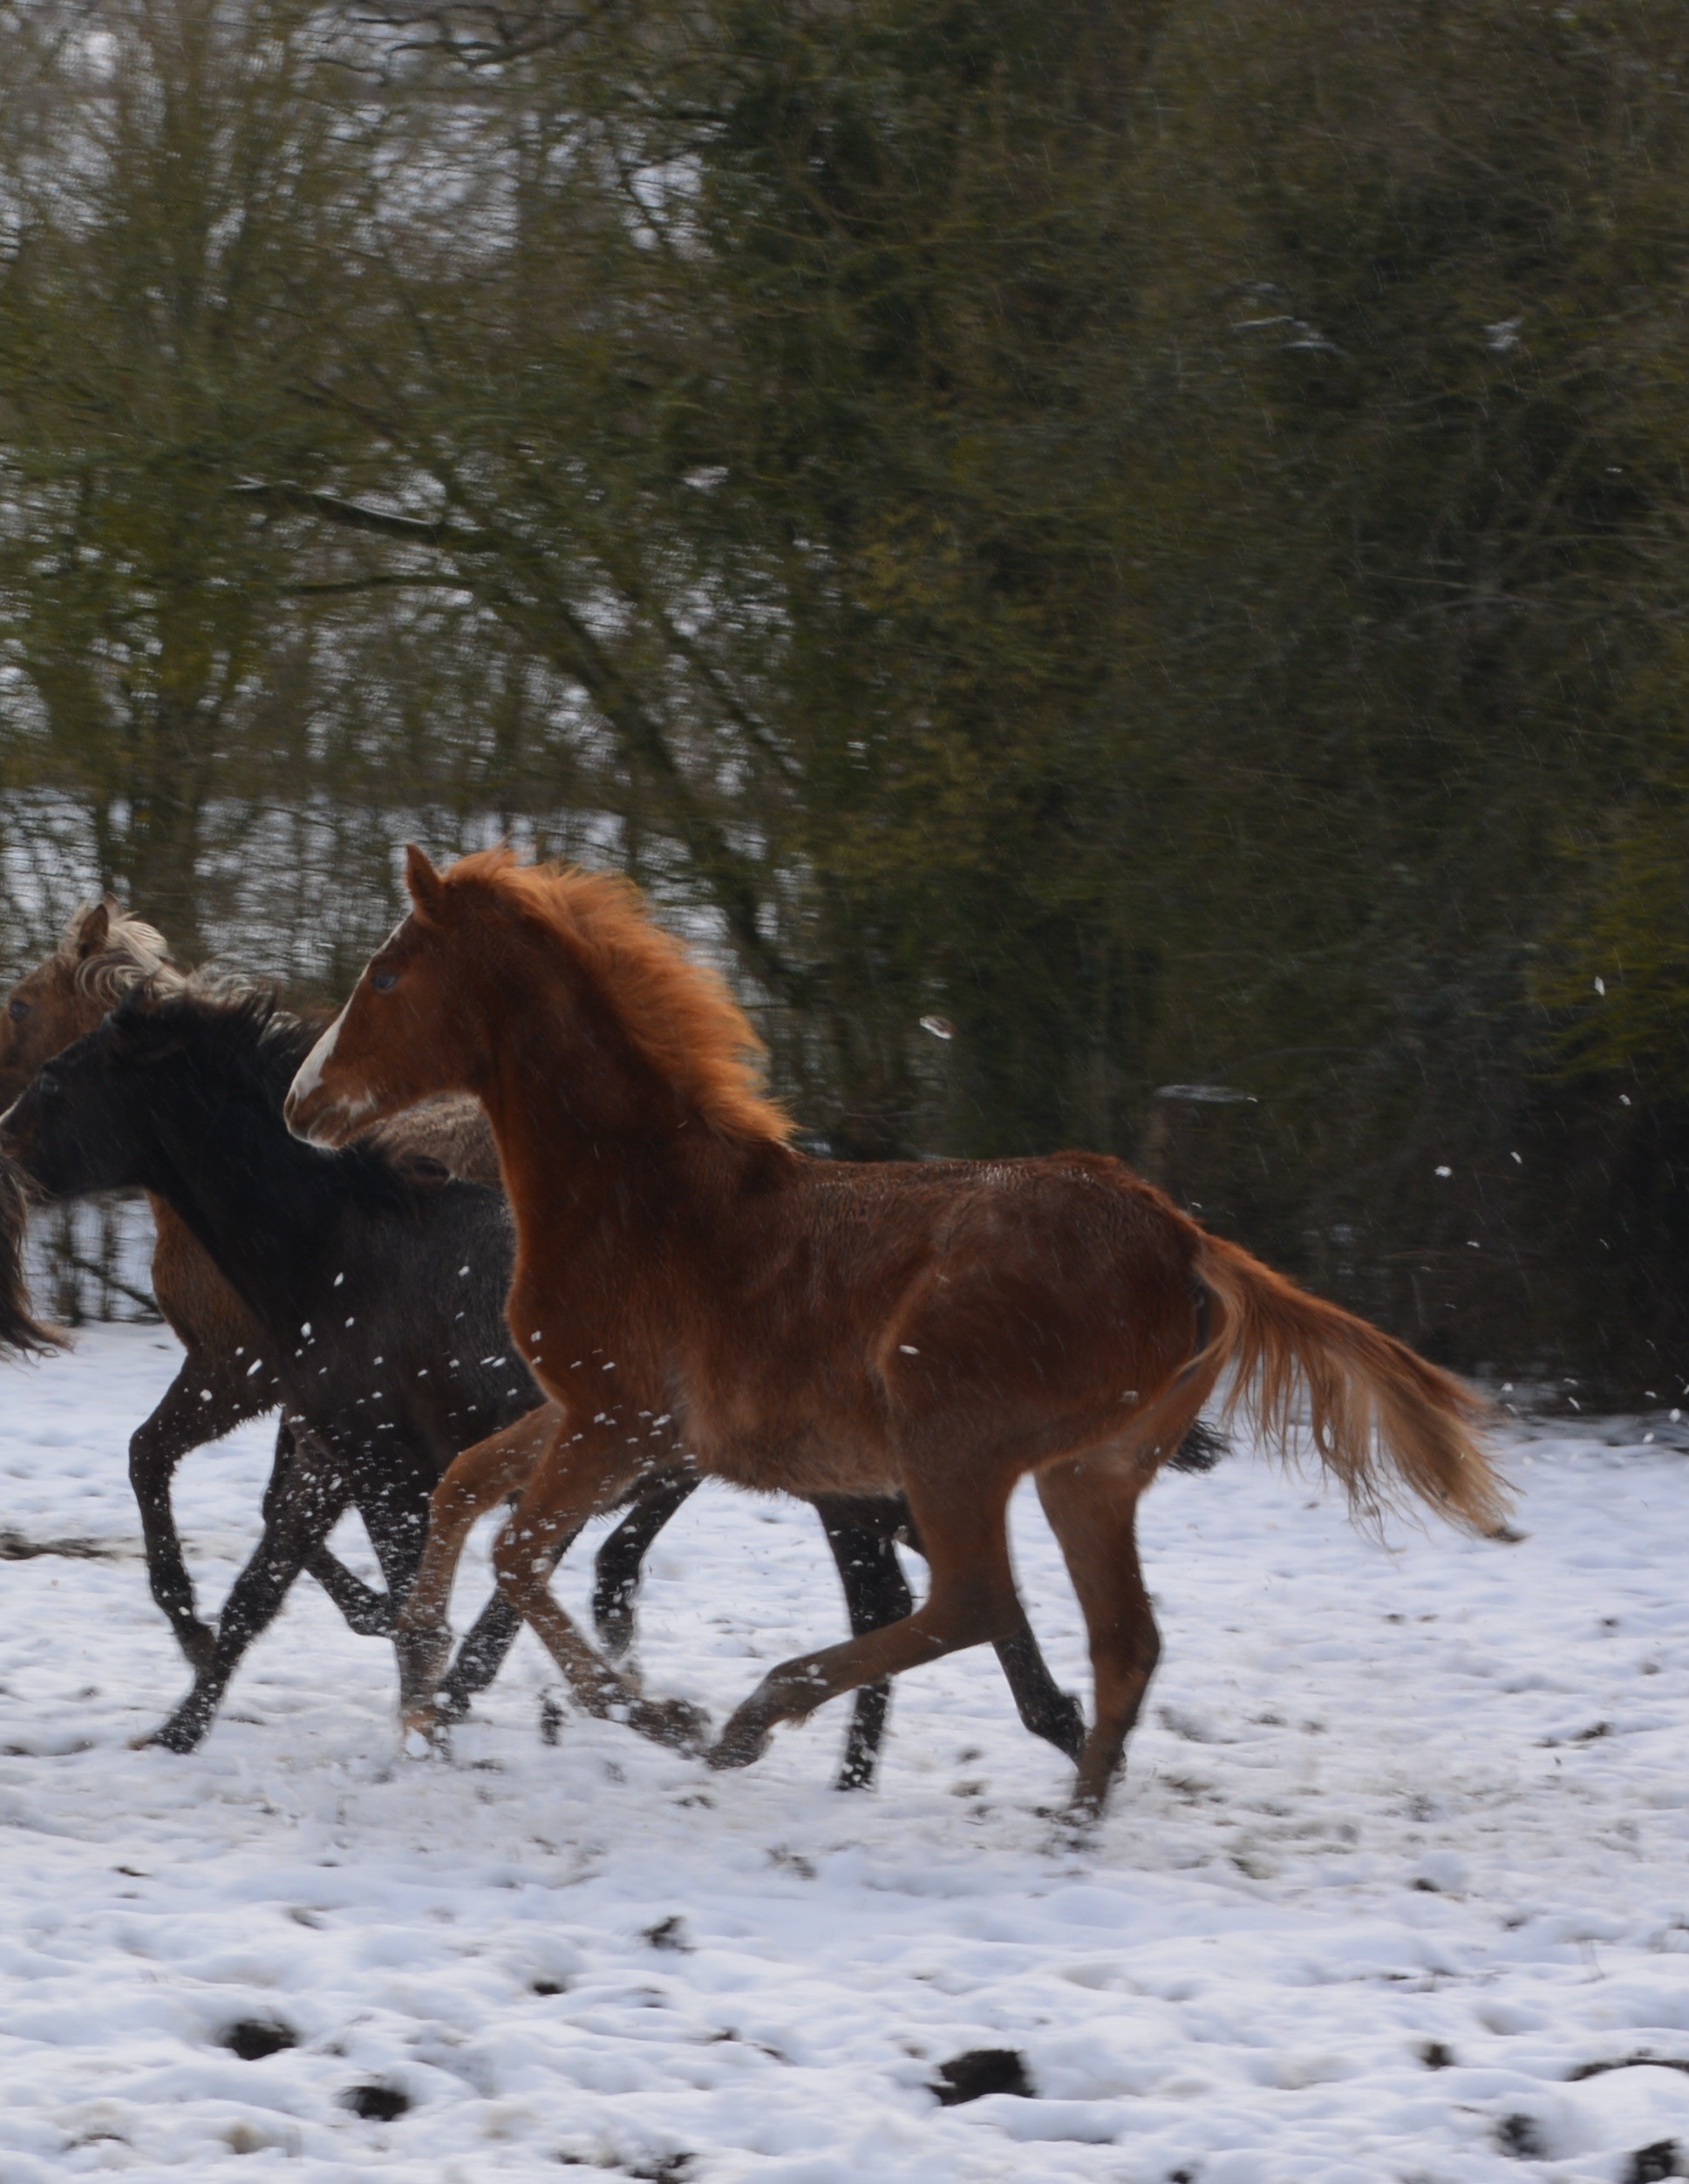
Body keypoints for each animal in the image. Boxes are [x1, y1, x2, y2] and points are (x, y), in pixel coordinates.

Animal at [286, 842, 1503, 1817]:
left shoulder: (619, 1425)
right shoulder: (594, 1417)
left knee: (969, 1601)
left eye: (385, 972)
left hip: (949, 1442)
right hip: (1090, 1472)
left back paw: (755, 1716)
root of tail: (1185, 1242)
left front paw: (653, 1714)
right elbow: (462, 1493)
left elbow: (519, 1552)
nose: (302, 1103)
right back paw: (1075, 1821)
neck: (636, 1198)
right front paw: (421, 1704)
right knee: (1120, 1639)